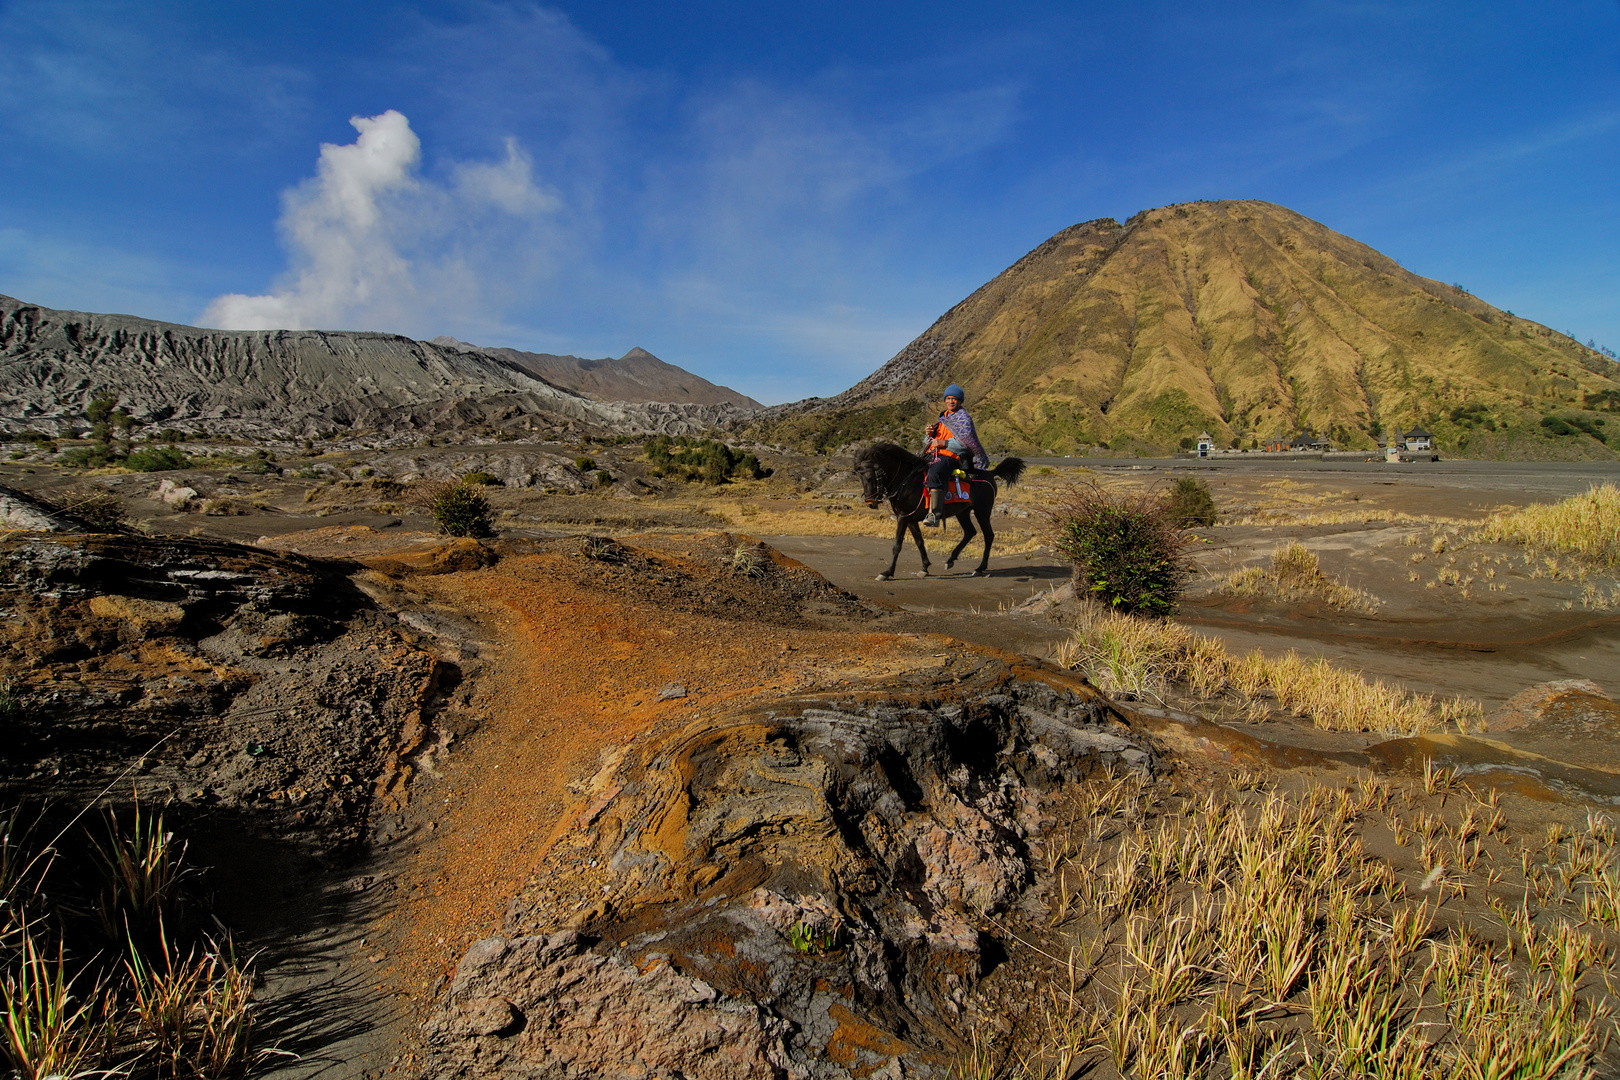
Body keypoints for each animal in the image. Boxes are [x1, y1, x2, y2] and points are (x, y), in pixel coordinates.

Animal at [848, 440, 1023, 582]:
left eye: (870, 477)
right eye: (859, 477)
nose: (870, 503)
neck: (906, 481)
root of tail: (991, 473)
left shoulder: (903, 518)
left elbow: (897, 545)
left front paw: (887, 572)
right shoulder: (910, 519)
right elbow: (919, 542)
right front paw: (925, 567)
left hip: (982, 511)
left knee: (988, 535)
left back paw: (980, 568)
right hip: (963, 512)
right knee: (970, 532)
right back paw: (951, 559)